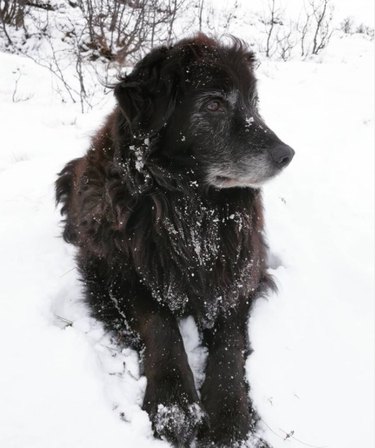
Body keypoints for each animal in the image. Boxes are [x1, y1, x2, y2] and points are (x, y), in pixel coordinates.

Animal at [57, 33, 296, 446]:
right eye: (214, 104)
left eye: (253, 102)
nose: (287, 155)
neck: (187, 206)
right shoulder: (115, 272)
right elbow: (160, 324)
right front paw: (176, 405)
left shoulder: (236, 271)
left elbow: (229, 341)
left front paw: (229, 416)